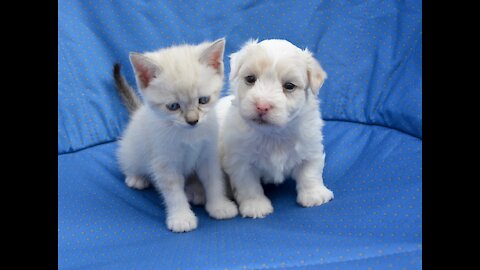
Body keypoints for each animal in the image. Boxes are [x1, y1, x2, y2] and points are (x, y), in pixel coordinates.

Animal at [113, 39, 240, 233]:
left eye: (203, 100)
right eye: (173, 106)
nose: (193, 120)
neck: (189, 136)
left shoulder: (209, 154)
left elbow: (214, 180)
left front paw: (219, 206)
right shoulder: (164, 162)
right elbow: (174, 193)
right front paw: (181, 218)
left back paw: (196, 191)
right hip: (132, 151)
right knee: (129, 162)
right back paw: (136, 178)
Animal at [217, 39, 334, 218]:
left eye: (289, 86)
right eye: (250, 79)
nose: (262, 106)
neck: (274, 134)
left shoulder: (310, 147)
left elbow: (310, 172)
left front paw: (314, 195)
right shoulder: (240, 161)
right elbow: (248, 186)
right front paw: (256, 206)